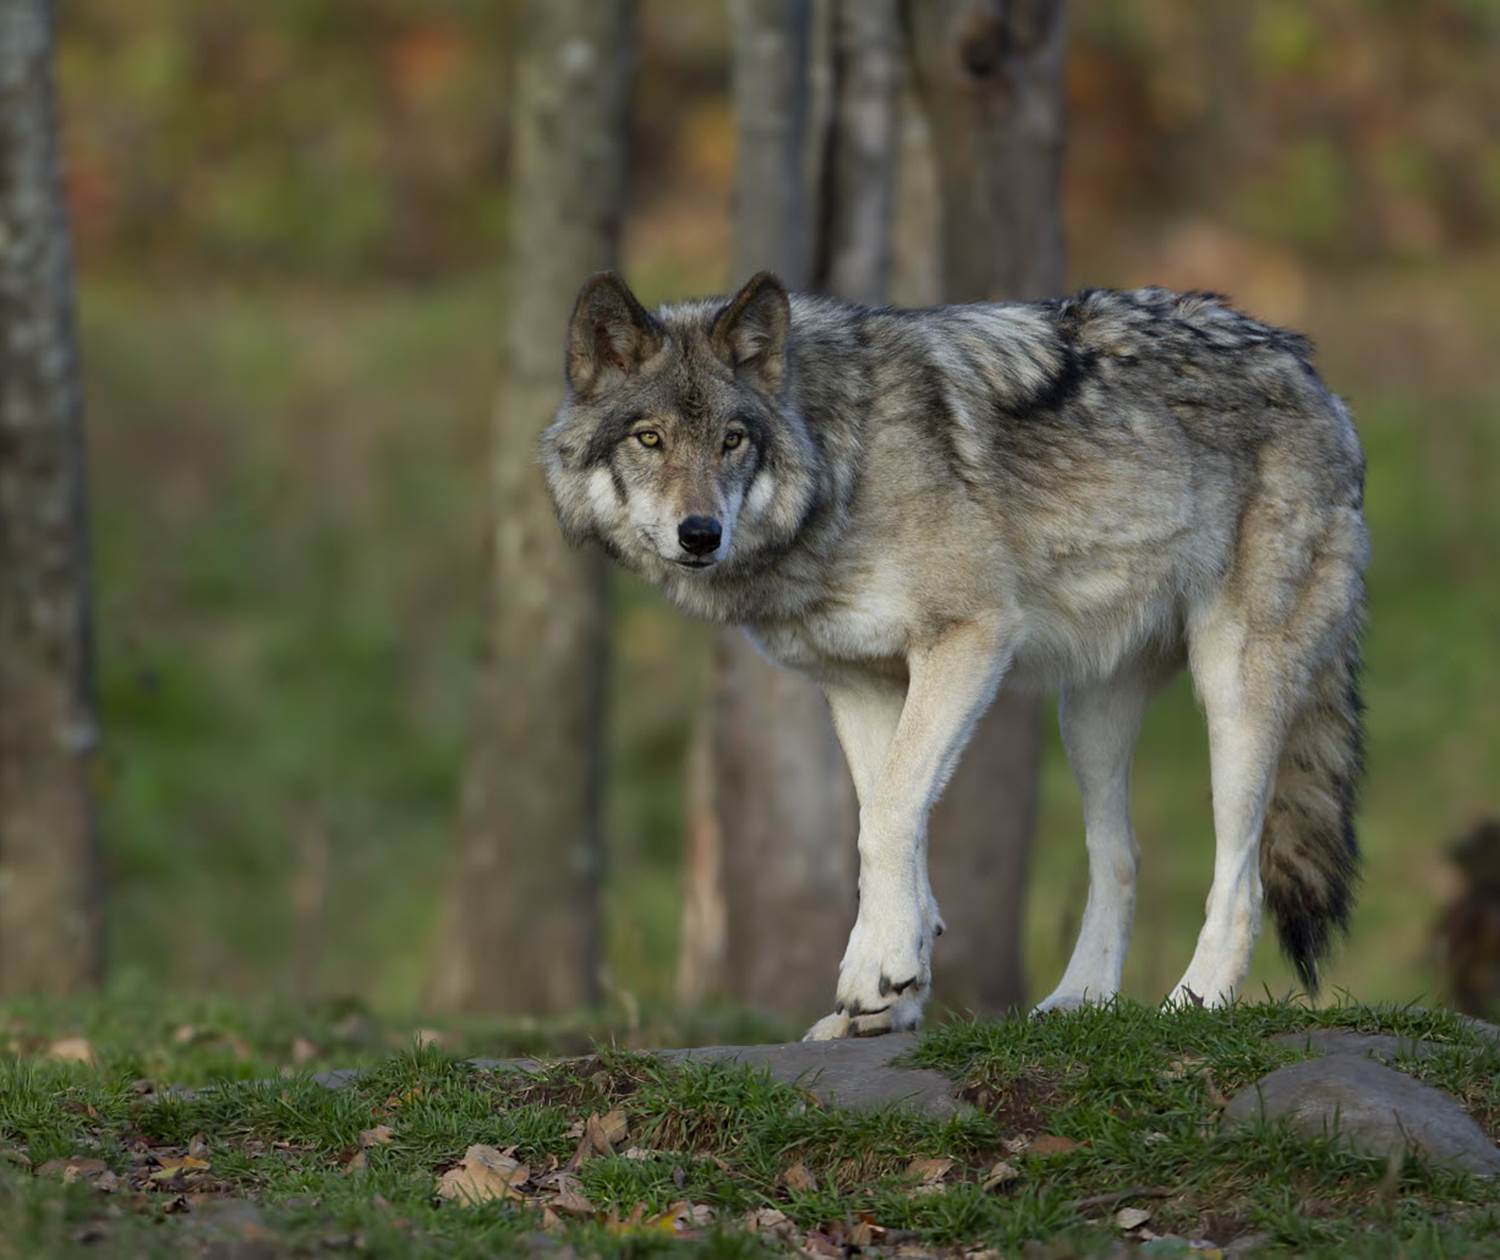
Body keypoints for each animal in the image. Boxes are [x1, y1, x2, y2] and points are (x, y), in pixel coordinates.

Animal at [541, 270, 1367, 1040]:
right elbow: (889, 820)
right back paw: (1078, 1002)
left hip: (1233, 690)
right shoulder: (861, 683)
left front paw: (875, 971)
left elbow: (888, 816)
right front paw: (893, 986)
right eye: (649, 439)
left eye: (731, 440)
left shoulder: (971, 638)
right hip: (1087, 718)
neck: (844, 465)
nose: (700, 533)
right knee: (1120, 858)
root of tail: (1312, 372)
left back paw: (1193, 1004)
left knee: (1240, 878)